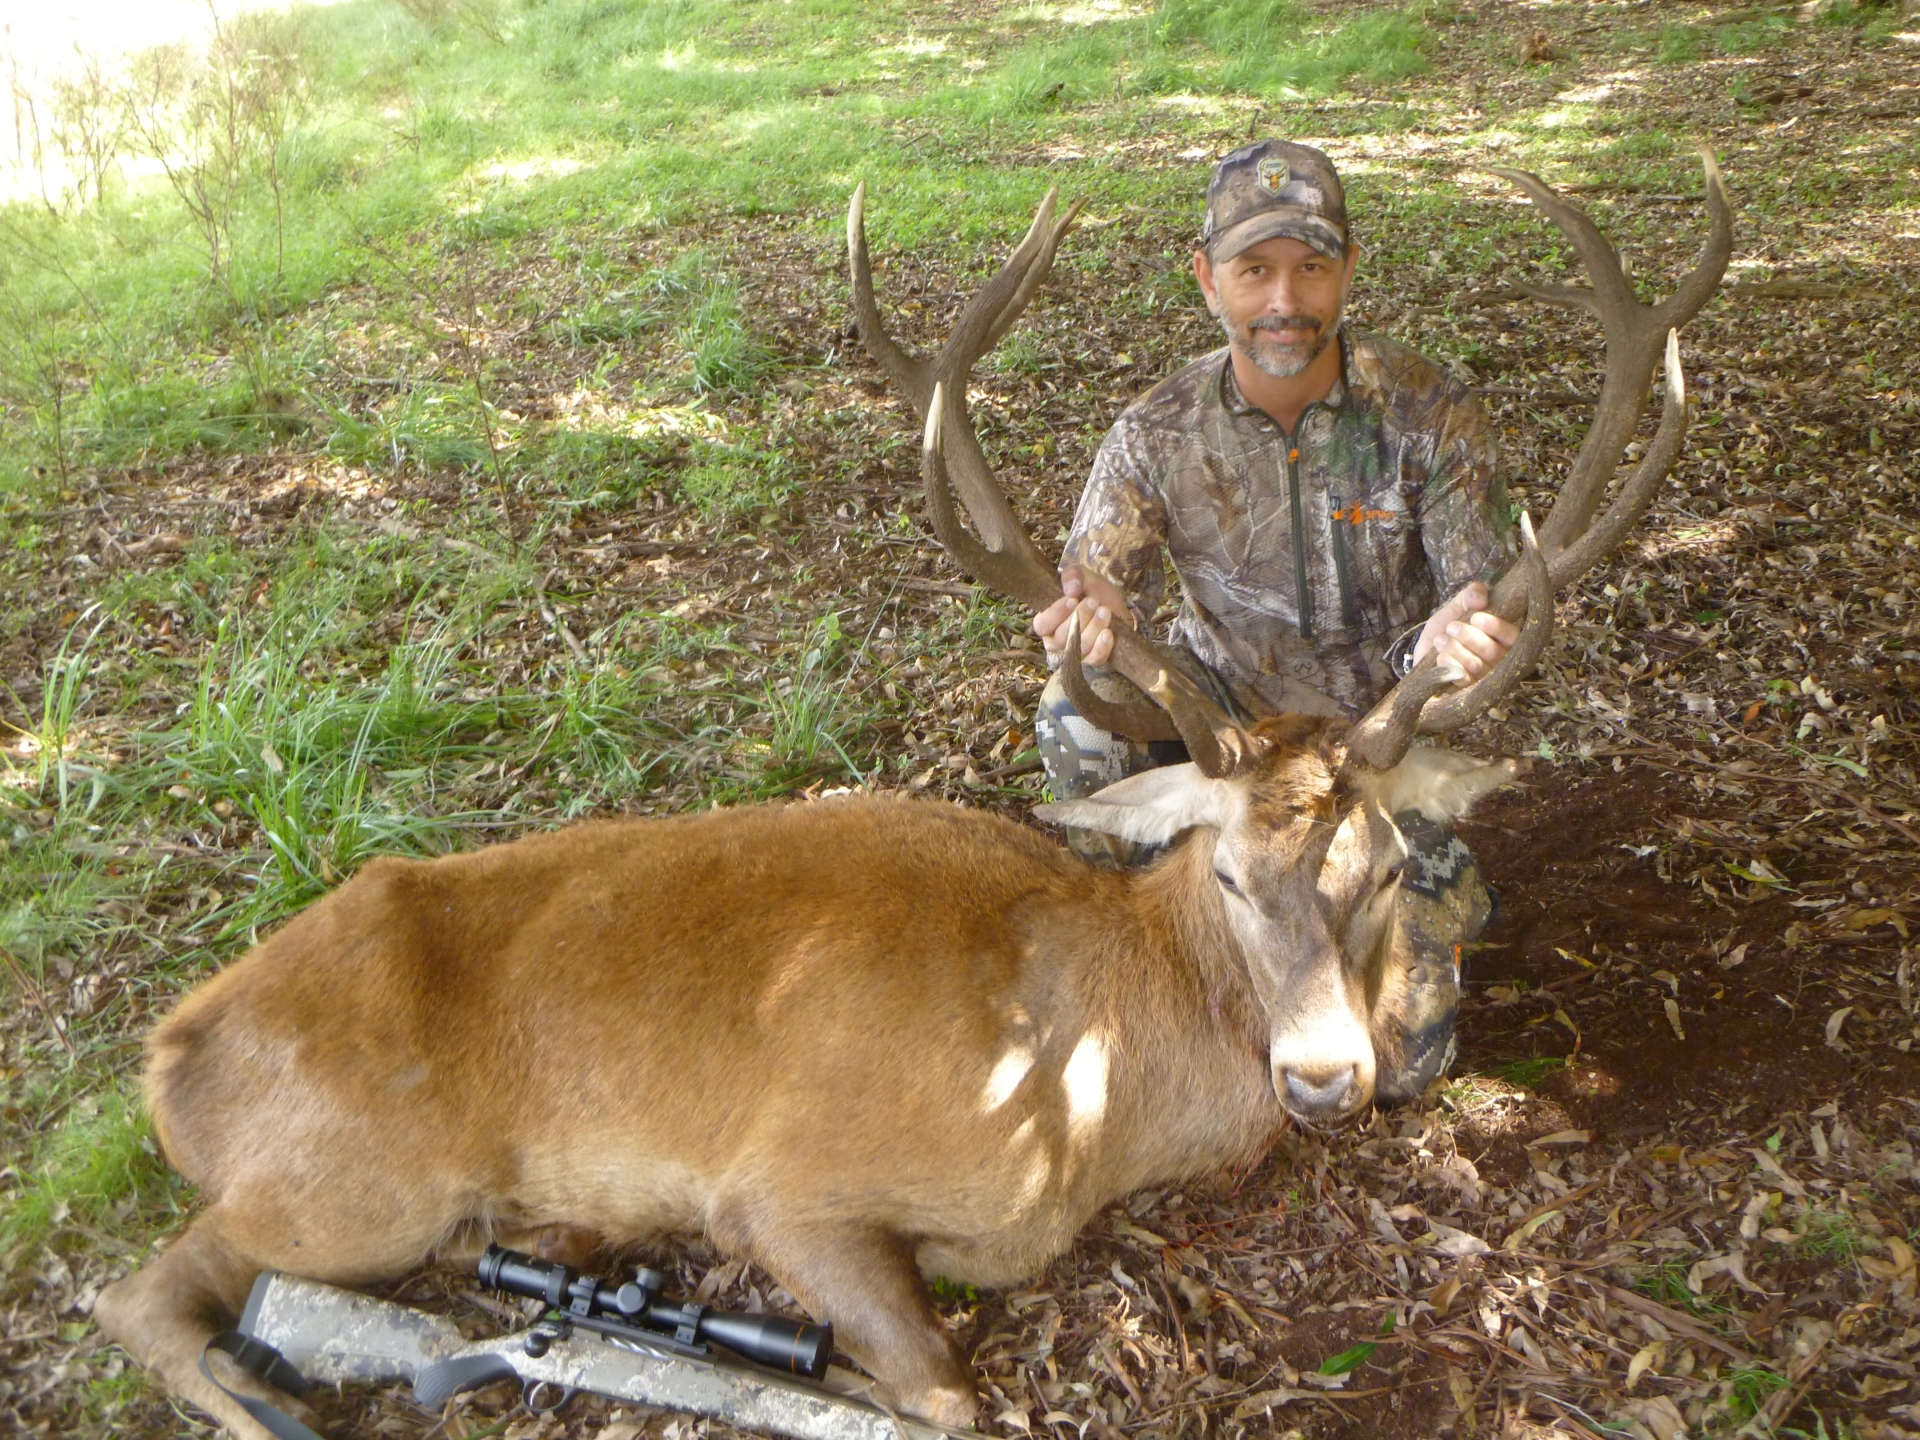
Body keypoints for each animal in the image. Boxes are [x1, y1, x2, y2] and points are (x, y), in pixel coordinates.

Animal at [92, 156, 1729, 1439]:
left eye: (1384, 864)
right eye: (1224, 873)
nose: (1326, 1079)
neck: (1084, 1096)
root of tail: (172, 1055)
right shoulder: (783, 1182)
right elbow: (939, 1386)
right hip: (352, 1177)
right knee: (144, 1289)